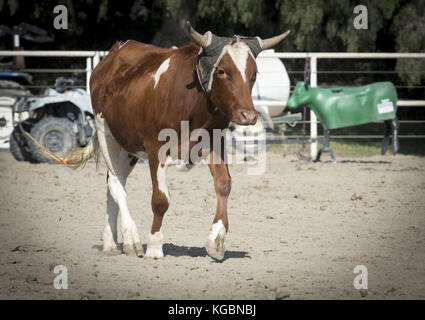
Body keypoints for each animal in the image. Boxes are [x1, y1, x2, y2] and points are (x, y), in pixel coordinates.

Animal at [63, 21, 288, 260]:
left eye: (253, 74)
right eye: (222, 71)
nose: (249, 116)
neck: (191, 103)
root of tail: (111, 57)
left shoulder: (215, 143)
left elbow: (223, 184)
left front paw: (216, 240)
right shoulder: (156, 149)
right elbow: (160, 200)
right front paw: (154, 246)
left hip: (128, 146)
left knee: (113, 184)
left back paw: (111, 242)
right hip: (106, 133)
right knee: (116, 183)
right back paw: (132, 239)